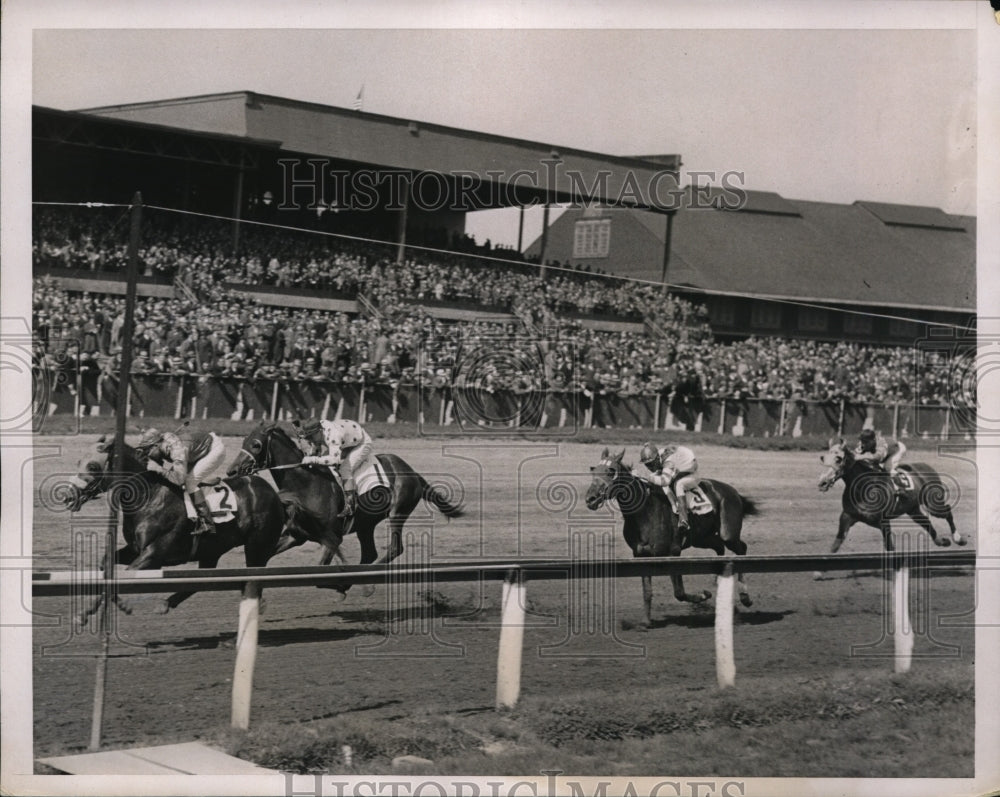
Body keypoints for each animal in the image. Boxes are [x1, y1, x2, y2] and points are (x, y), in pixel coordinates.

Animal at [66, 436, 286, 620]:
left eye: (93, 466)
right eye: (78, 462)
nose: (69, 496)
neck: (150, 497)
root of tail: (275, 495)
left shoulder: (154, 555)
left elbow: (126, 575)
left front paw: (120, 606)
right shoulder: (135, 549)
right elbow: (106, 565)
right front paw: (87, 612)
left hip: (257, 546)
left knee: (254, 577)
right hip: (212, 550)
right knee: (204, 581)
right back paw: (166, 603)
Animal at [228, 422, 464, 592]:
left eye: (256, 444)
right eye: (244, 441)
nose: (231, 471)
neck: (306, 484)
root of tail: (413, 472)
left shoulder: (332, 538)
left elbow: (319, 576)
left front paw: (341, 584)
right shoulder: (296, 535)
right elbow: (262, 559)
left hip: (398, 511)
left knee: (395, 548)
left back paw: (363, 581)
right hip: (366, 524)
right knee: (369, 553)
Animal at [584, 448, 756, 628]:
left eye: (611, 471)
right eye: (594, 470)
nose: (590, 499)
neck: (646, 512)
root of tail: (734, 492)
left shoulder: (673, 552)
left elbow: (679, 592)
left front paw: (704, 595)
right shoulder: (641, 555)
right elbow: (647, 591)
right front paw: (646, 622)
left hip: (728, 533)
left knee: (741, 549)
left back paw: (745, 597)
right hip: (701, 538)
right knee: (719, 546)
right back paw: (718, 579)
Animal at [816, 436, 964, 552]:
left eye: (838, 459)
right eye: (824, 458)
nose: (822, 482)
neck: (862, 488)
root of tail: (927, 466)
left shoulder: (883, 522)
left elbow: (890, 548)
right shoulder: (847, 516)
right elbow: (834, 547)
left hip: (933, 503)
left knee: (947, 512)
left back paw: (958, 539)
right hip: (912, 509)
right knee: (926, 522)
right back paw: (941, 541)